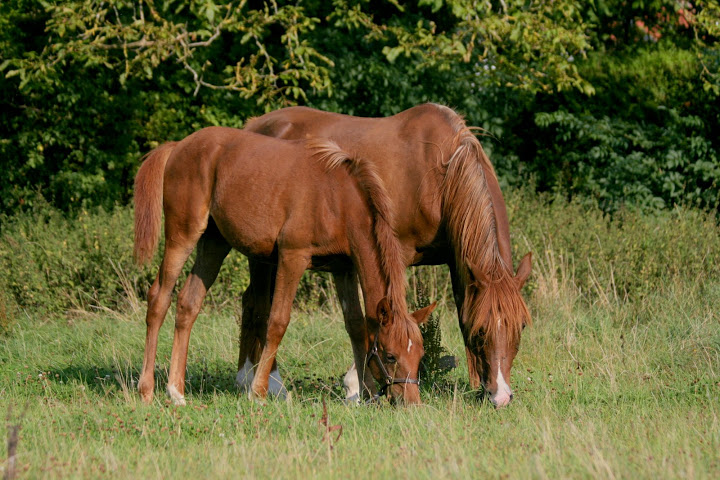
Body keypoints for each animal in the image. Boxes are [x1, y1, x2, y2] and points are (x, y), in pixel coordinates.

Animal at [133, 126, 436, 404]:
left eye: (420, 354)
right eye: (390, 355)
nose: (412, 403)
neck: (337, 199)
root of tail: (178, 146)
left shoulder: (343, 268)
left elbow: (355, 325)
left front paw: (366, 392)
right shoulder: (293, 257)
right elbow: (278, 321)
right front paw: (258, 392)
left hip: (213, 243)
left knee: (188, 303)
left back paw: (176, 391)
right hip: (183, 235)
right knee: (159, 298)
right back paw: (147, 389)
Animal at [245, 103, 532, 406]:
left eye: (521, 327)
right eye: (482, 331)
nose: (501, 396)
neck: (439, 173)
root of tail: (255, 124)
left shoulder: (458, 259)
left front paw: (476, 386)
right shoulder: (394, 252)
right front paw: (354, 385)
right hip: (261, 254)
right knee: (258, 305)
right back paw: (262, 382)